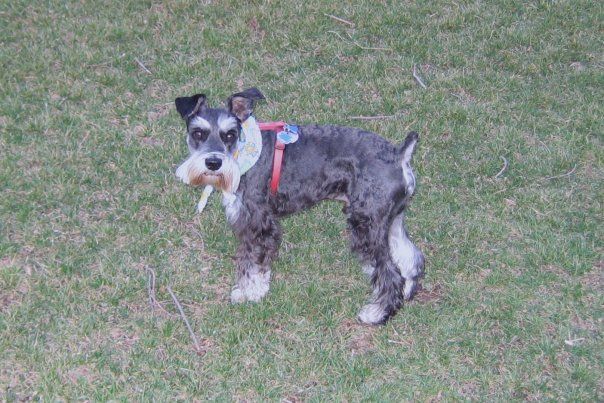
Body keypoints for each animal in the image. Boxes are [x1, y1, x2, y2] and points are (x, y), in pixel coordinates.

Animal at [172, 87, 422, 326]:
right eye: (198, 133)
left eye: (230, 134)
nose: (213, 163)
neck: (242, 152)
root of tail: (399, 156)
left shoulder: (258, 223)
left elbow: (253, 261)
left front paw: (250, 292)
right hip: (389, 220)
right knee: (409, 256)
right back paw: (405, 292)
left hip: (366, 224)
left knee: (391, 273)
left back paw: (376, 313)